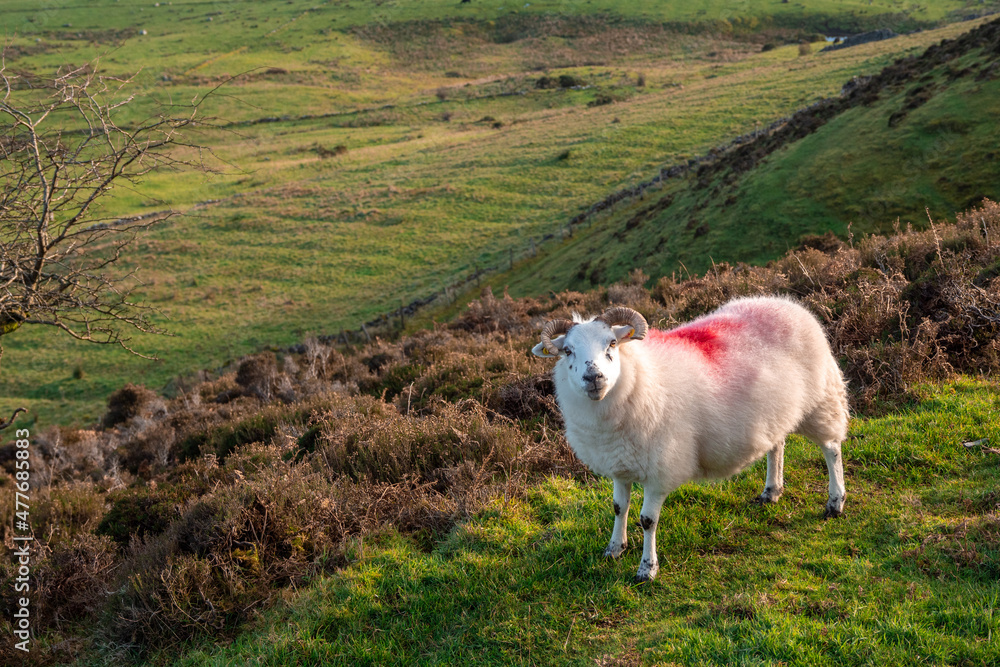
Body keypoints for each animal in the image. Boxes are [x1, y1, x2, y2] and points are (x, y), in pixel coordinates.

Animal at [532, 296, 848, 582]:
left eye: (611, 343)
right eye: (568, 351)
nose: (593, 377)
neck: (640, 378)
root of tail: (788, 304)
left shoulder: (661, 469)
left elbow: (647, 521)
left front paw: (647, 569)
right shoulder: (620, 463)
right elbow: (619, 508)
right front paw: (614, 549)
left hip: (821, 398)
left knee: (831, 449)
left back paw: (835, 502)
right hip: (776, 412)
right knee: (777, 445)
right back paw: (771, 492)